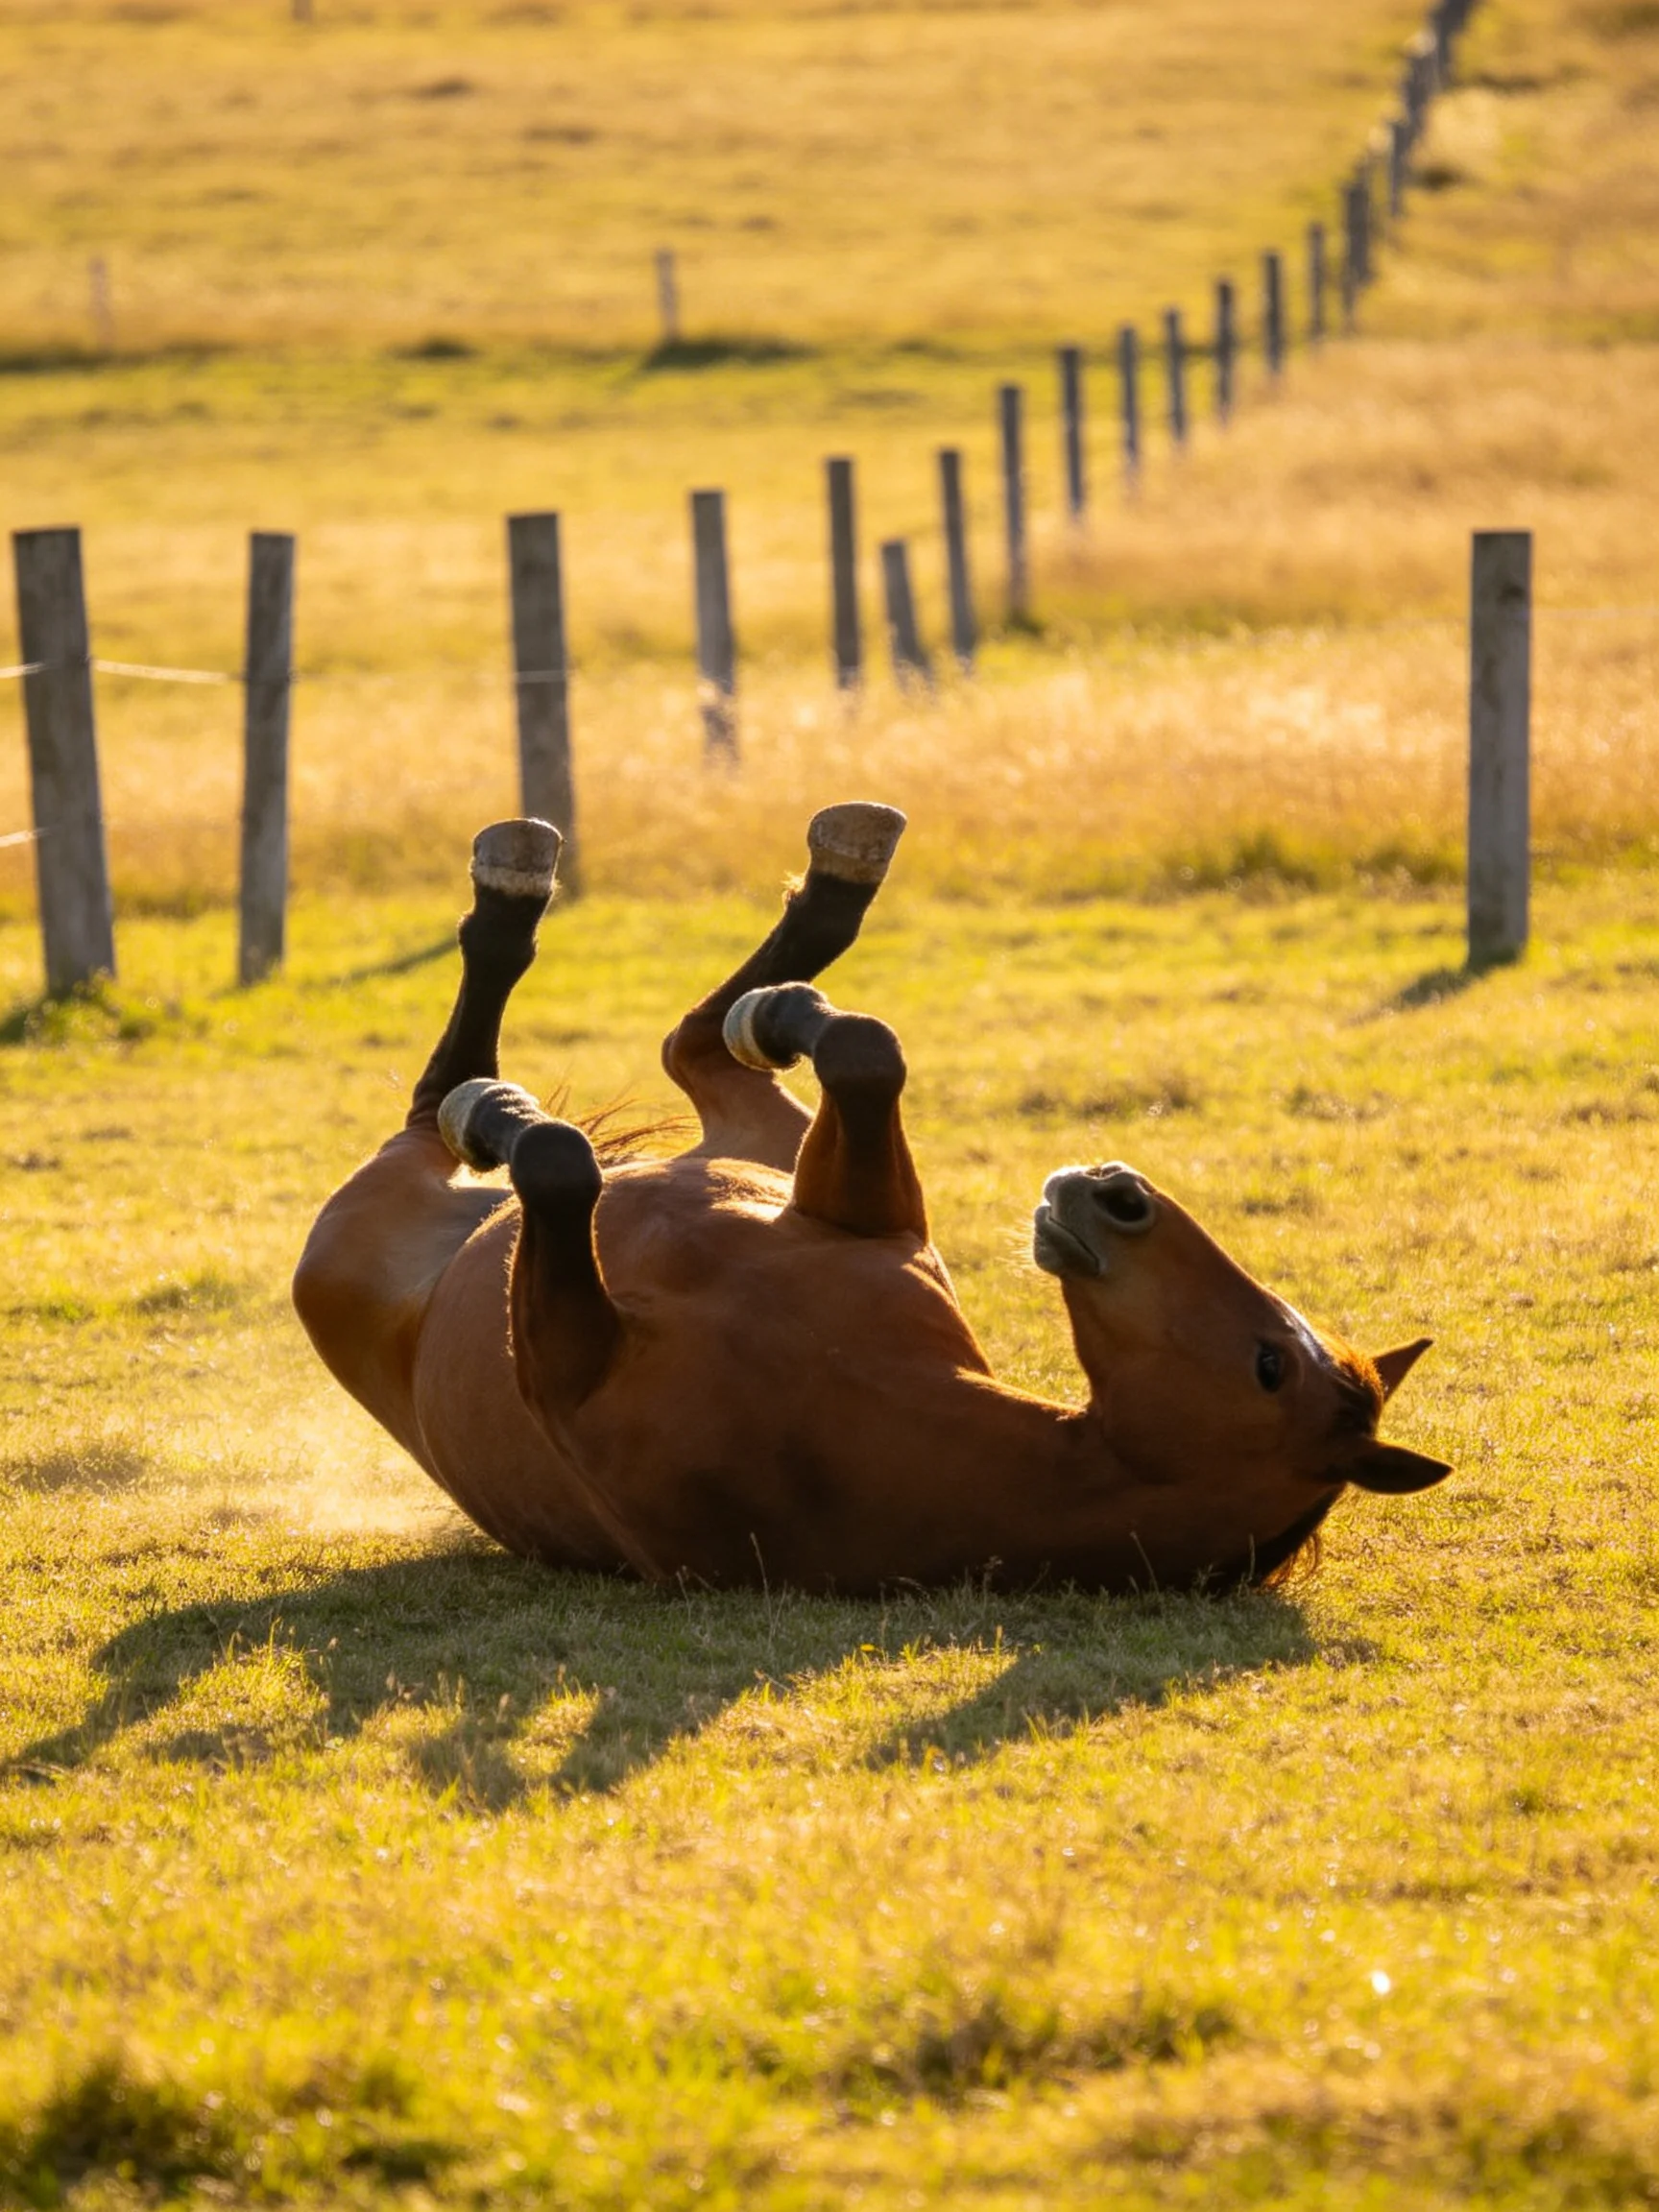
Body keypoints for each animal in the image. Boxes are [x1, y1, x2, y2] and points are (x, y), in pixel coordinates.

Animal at [293, 803, 1450, 1594]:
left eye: (1268, 1365)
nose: (1120, 1192)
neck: (859, 1413)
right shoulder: (866, 1217)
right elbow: (864, 1049)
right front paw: (797, 1007)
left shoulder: (571, 1370)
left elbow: (558, 1161)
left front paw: (513, 1120)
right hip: (768, 1147)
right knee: (697, 1043)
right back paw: (815, 901)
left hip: (356, 1234)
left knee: (452, 1101)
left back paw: (507, 950)